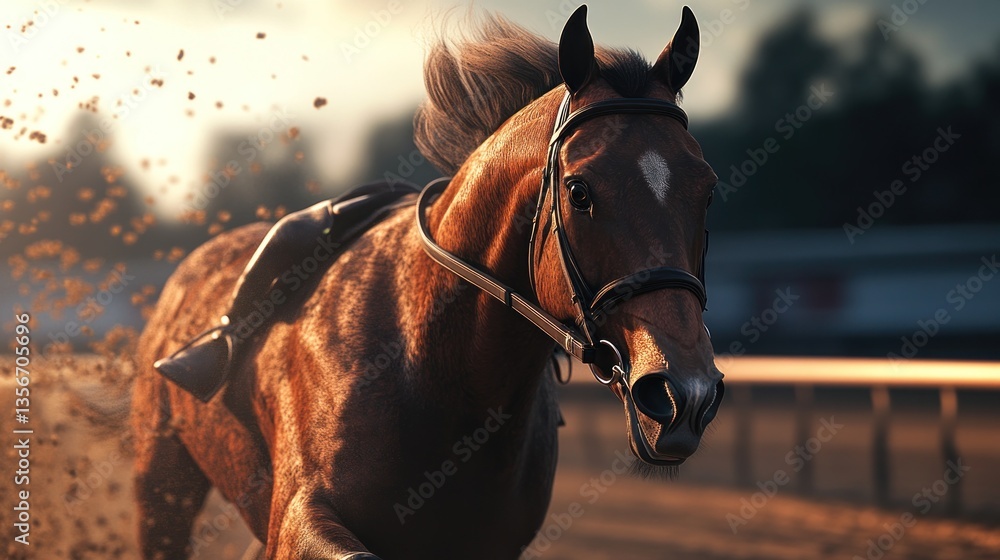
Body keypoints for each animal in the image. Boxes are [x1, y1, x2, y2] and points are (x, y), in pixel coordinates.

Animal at [131, 6, 723, 559]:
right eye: (580, 191)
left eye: (708, 189)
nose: (685, 396)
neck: (437, 362)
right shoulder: (299, 515)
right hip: (161, 483)